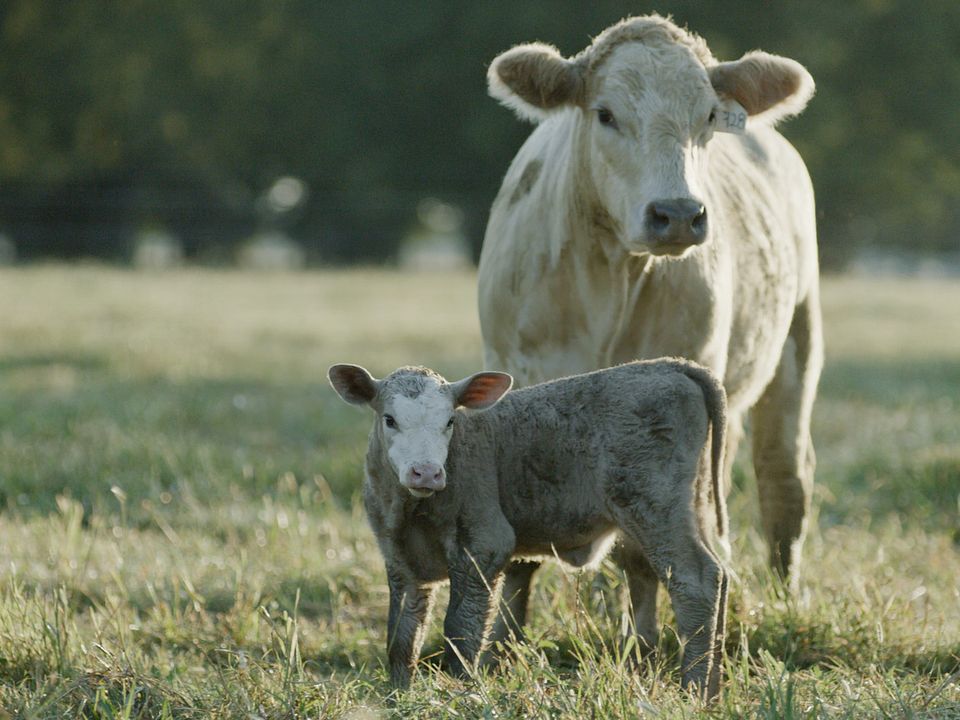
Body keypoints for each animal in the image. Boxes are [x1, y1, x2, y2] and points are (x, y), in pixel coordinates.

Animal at [329, 359, 729, 699]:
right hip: (693, 505)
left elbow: (461, 632)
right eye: (390, 419)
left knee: (696, 581)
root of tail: (671, 365)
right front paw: (399, 697)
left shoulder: (484, 543)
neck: (412, 510)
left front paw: (457, 694)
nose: (426, 472)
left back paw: (693, 689)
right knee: (719, 572)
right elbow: (401, 638)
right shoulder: (399, 558)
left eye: (450, 422)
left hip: (653, 503)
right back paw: (713, 686)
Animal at [477, 14, 822, 646]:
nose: (678, 214)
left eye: (708, 115)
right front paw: (503, 641)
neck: (610, 283)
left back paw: (783, 599)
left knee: (783, 477)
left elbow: (643, 553)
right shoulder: (515, 370)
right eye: (606, 114)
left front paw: (642, 644)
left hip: (798, 338)